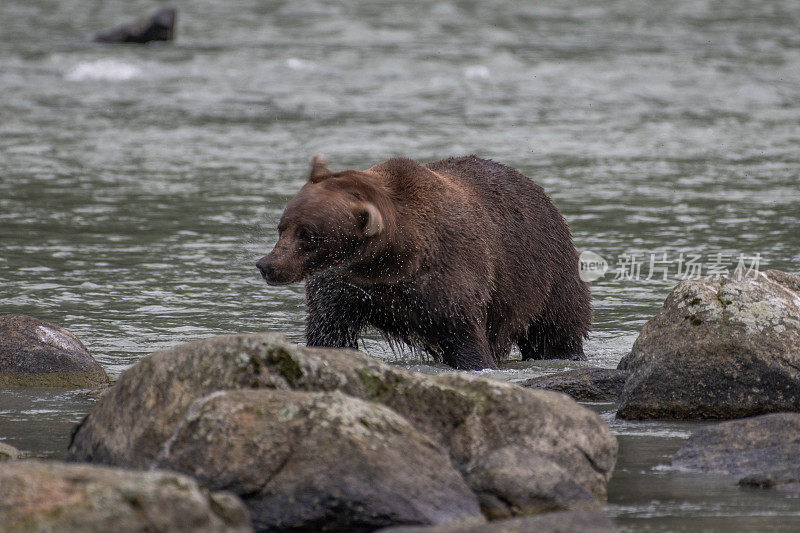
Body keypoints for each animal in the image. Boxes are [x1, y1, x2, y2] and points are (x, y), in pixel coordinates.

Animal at [260, 156, 592, 368]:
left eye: (308, 235)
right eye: (282, 226)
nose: (268, 265)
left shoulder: (449, 275)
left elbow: (465, 337)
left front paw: (476, 362)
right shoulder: (346, 286)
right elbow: (329, 329)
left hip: (545, 269)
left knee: (555, 327)